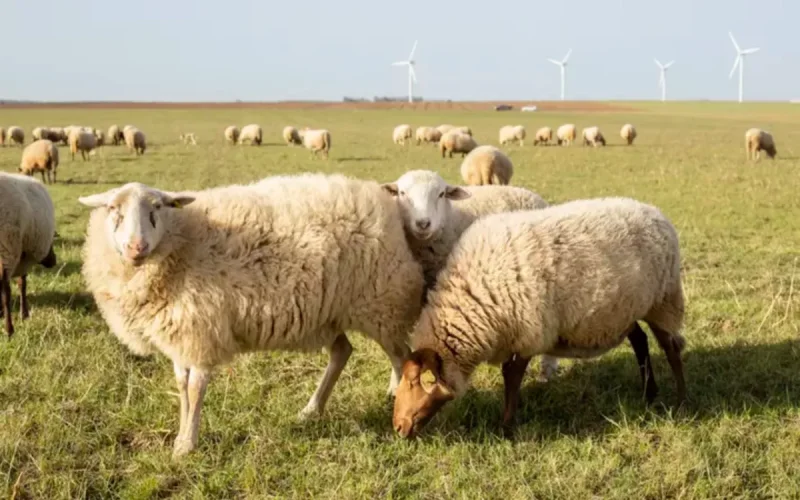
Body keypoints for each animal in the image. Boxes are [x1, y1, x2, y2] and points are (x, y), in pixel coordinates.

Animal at [0, 173, 57, 336]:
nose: (54, 261)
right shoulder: (21, 258)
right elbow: (22, 284)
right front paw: (24, 314)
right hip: (7, 249)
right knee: (5, 291)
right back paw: (9, 329)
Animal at [77, 173, 425, 458]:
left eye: (157, 209)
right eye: (114, 210)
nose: (136, 247)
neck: (181, 241)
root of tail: (381, 200)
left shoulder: (202, 330)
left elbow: (195, 388)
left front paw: (187, 444)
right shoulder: (181, 333)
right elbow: (181, 387)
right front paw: (181, 437)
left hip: (383, 304)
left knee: (401, 357)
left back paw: (398, 401)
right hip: (327, 314)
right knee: (343, 351)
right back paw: (311, 410)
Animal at [392, 197, 687, 438]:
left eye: (415, 381)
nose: (398, 426)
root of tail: (655, 212)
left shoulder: (529, 332)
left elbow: (512, 376)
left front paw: (507, 426)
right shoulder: (513, 334)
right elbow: (508, 373)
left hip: (663, 299)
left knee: (670, 347)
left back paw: (680, 399)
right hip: (624, 310)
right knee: (640, 340)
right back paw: (649, 392)